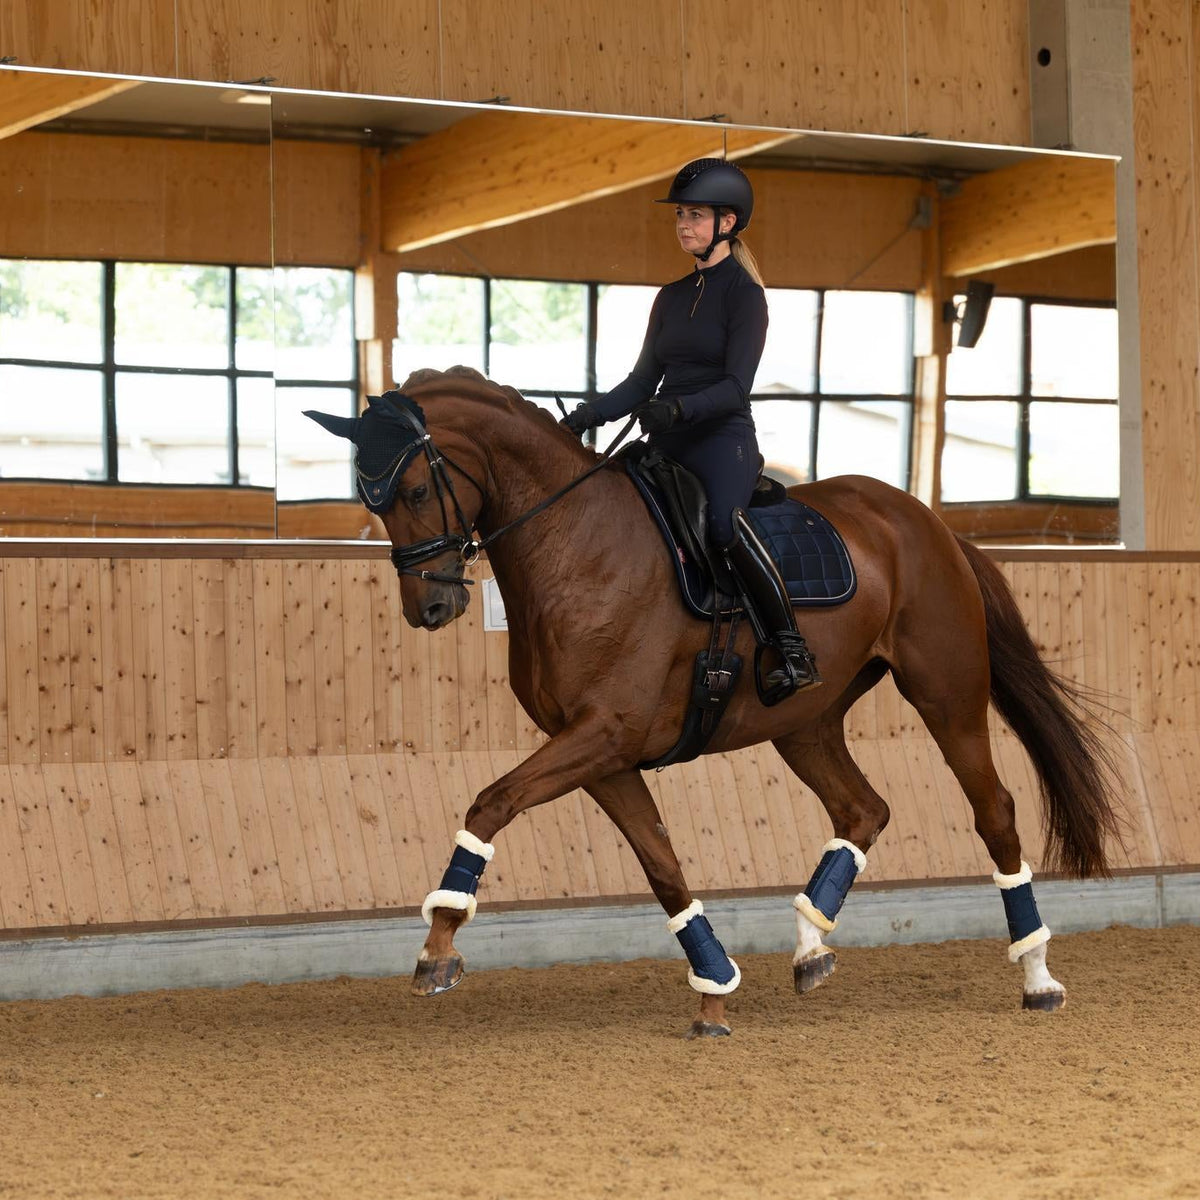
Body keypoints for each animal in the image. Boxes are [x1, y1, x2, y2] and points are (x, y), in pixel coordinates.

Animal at [306, 365, 1121, 1039]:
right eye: (371, 500)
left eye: (415, 491)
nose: (431, 607)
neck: (576, 543)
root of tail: (929, 522)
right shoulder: (601, 755)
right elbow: (662, 864)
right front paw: (714, 990)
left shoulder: (602, 734)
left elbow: (488, 804)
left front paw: (437, 945)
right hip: (804, 723)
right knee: (863, 809)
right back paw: (810, 946)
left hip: (946, 696)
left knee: (995, 814)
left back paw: (1038, 978)